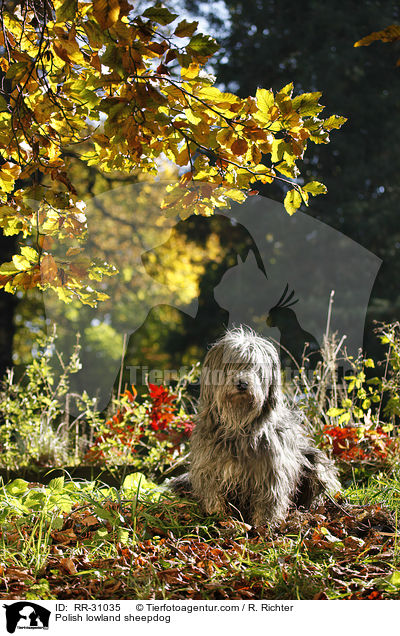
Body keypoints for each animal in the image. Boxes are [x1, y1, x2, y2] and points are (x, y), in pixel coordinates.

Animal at [172, 326, 340, 524]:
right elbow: (213, 495)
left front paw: (265, 525)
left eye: (256, 368)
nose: (242, 384)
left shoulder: (271, 471)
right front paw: (218, 518)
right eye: (231, 365)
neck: (238, 427)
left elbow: (268, 500)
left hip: (315, 462)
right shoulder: (209, 468)